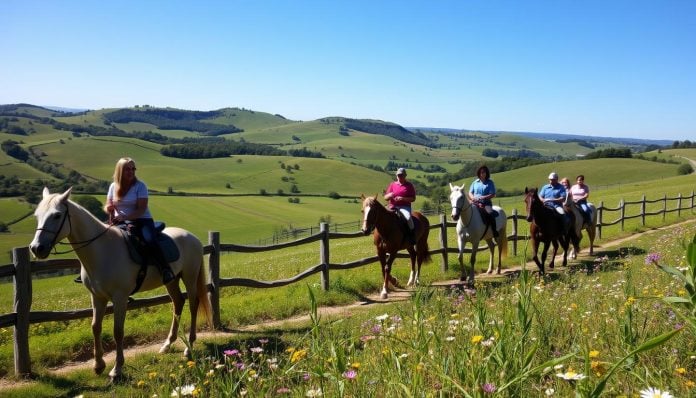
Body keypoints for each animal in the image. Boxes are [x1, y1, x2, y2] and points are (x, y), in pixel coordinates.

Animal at [28, 188, 212, 380]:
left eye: (57, 215)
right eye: (37, 215)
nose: (36, 248)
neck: (102, 251)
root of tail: (192, 237)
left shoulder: (120, 298)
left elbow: (118, 331)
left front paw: (116, 369)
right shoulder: (97, 297)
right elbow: (96, 327)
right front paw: (98, 365)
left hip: (190, 277)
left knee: (193, 304)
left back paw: (189, 347)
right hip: (171, 280)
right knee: (178, 302)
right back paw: (167, 345)